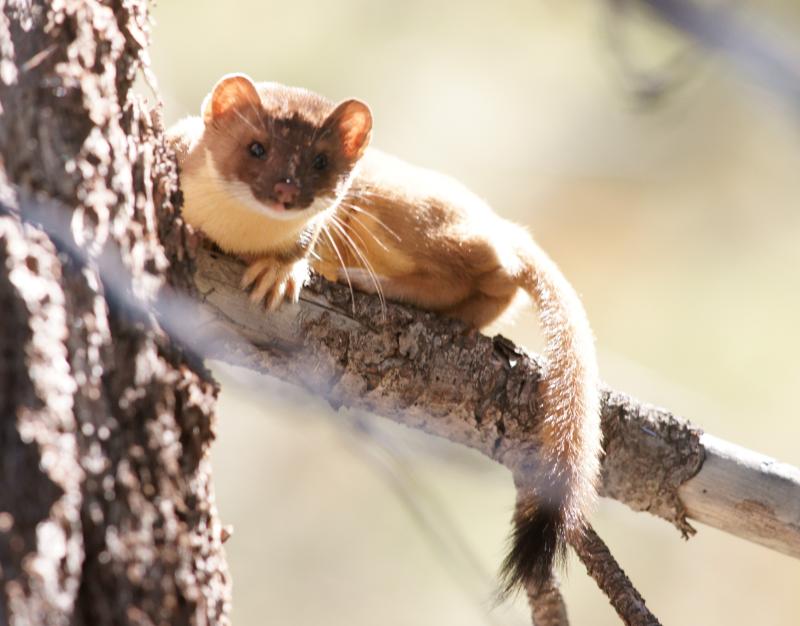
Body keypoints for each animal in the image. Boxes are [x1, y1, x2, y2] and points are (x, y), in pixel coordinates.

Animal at [172, 74, 604, 596]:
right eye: (257, 147)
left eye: (320, 160)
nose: (285, 190)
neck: (238, 232)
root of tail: (502, 223)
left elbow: (301, 245)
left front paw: (279, 273)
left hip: (401, 209)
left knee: (493, 267)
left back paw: (362, 278)